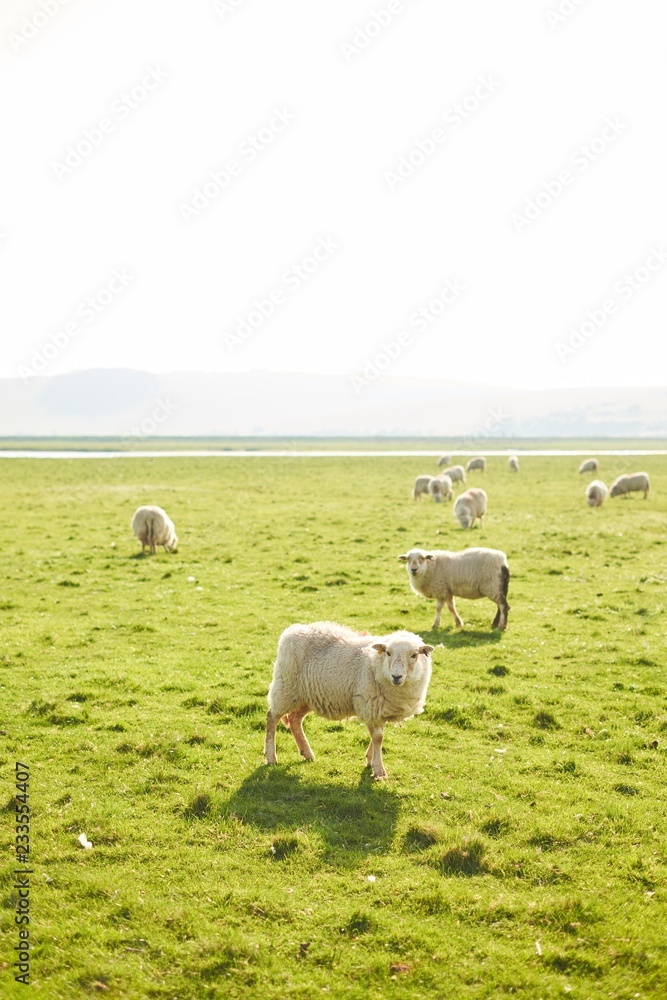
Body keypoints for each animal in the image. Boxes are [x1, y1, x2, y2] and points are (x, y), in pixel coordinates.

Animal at [264, 622, 434, 779]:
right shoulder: (369, 703)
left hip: (307, 696)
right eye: (388, 652)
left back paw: (307, 753)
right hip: (285, 687)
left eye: (414, 655)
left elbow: (377, 737)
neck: (376, 665)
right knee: (272, 718)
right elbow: (378, 738)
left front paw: (370, 760)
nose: (396, 676)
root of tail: (294, 629)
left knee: (294, 719)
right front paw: (379, 770)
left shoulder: (377, 709)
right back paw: (271, 757)